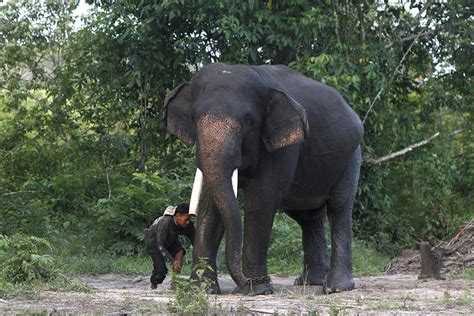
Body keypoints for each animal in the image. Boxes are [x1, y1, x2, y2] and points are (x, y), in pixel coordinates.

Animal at [164, 63, 362, 296]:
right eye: (194, 118)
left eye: (249, 121)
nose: (241, 283)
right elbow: (209, 207)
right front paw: (201, 290)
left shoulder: (280, 149)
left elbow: (260, 202)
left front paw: (256, 290)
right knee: (307, 217)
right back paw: (309, 282)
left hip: (351, 157)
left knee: (339, 208)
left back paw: (334, 288)